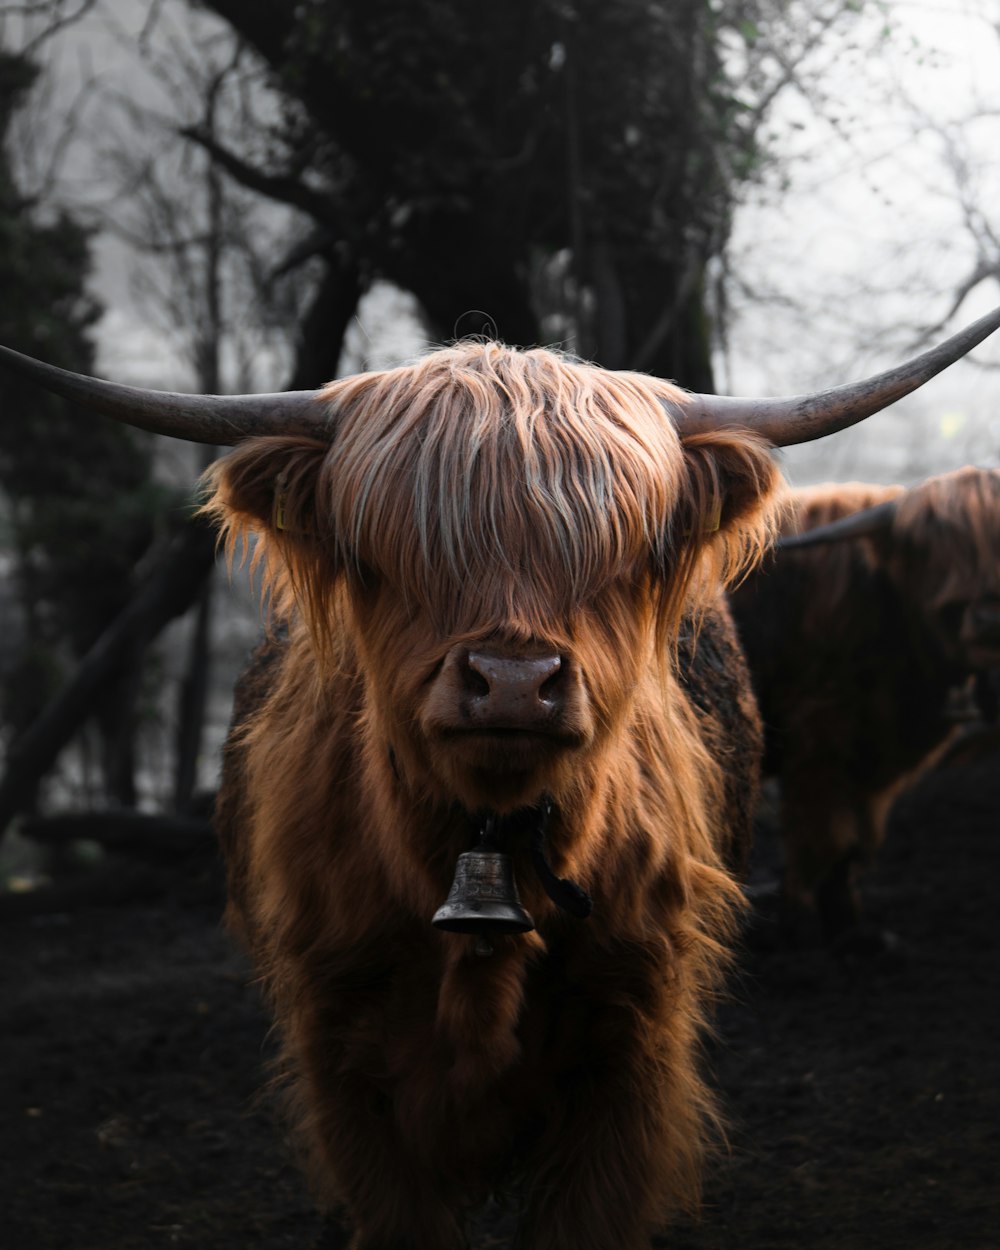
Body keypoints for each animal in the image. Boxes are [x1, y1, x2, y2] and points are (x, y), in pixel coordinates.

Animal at [730, 467, 1000, 940]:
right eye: (931, 549)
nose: (987, 623)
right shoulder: (821, 738)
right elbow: (825, 835)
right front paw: (808, 922)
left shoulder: (874, 758)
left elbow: (854, 839)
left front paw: (847, 921)